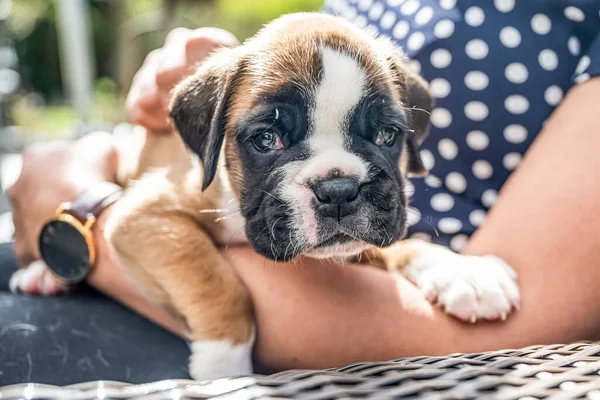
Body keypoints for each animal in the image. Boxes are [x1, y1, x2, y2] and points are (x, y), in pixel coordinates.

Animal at [14, 12, 520, 382]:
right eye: (266, 140)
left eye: (386, 135)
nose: (339, 188)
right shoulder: (146, 216)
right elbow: (219, 285)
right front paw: (225, 368)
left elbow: (407, 245)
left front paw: (465, 273)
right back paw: (42, 273)